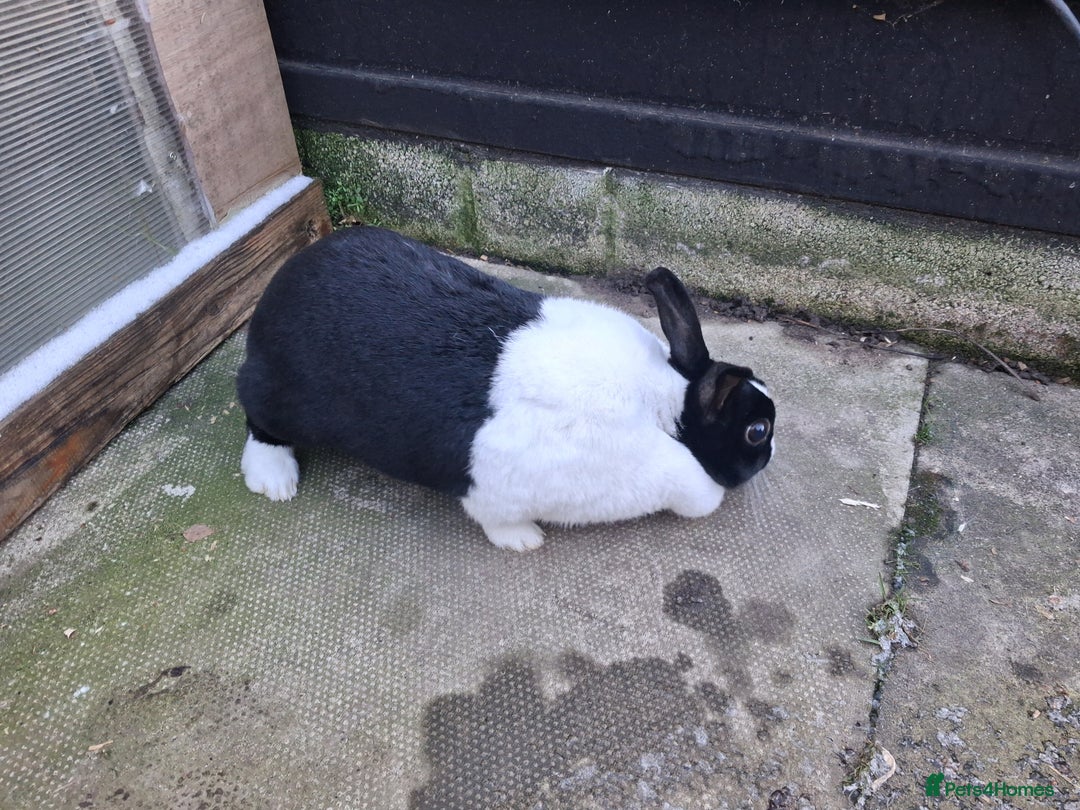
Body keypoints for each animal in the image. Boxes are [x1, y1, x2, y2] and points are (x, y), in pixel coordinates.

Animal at [237, 226, 775, 551]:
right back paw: (275, 480)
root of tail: (276, 292)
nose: (769, 457)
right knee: (258, 418)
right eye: (756, 431)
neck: (664, 412)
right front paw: (525, 540)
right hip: (283, 397)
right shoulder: (499, 487)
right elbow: (494, 517)